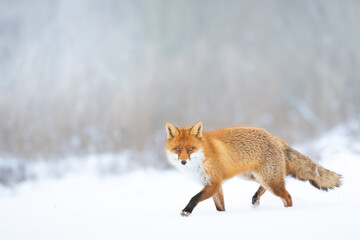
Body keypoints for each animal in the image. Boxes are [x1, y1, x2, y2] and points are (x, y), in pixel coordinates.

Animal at [165, 121, 342, 217]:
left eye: (190, 149)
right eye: (177, 150)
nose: (183, 162)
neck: (203, 155)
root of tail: (274, 137)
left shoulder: (213, 183)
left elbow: (194, 198)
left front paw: (186, 211)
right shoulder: (214, 185)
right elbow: (220, 207)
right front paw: (222, 216)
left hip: (269, 180)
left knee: (287, 196)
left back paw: (286, 212)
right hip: (255, 177)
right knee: (266, 187)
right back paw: (256, 199)